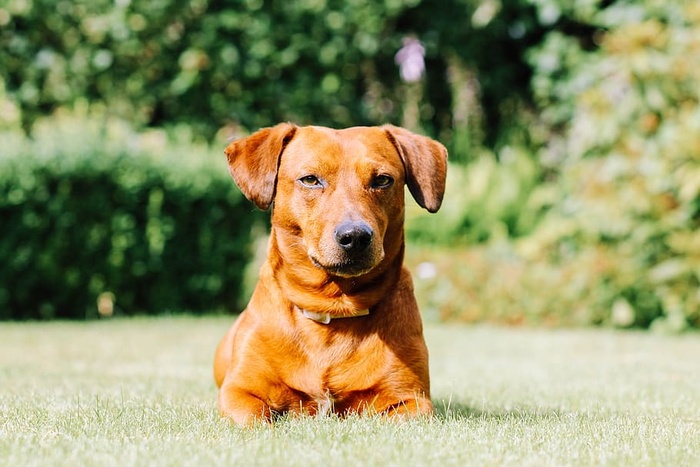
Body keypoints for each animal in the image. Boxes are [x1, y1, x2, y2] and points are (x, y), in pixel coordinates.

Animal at [213, 123, 448, 424]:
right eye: (310, 180)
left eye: (382, 180)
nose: (355, 236)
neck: (333, 307)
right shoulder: (239, 391)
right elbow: (254, 418)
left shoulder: (412, 399)